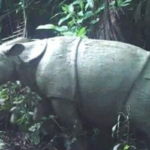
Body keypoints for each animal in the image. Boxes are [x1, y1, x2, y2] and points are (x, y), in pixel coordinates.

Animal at [0, 36, 150, 150]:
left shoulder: (62, 96)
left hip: (142, 84)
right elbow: (39, 113)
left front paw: (76, 146)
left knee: (141, 120)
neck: (22, 57)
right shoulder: (53, 93)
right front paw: (44, 135)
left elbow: (74, 126)